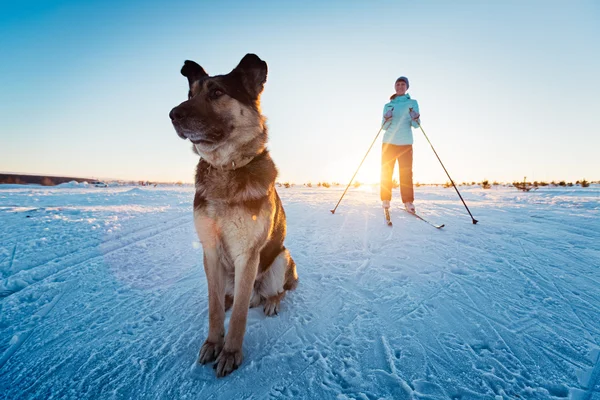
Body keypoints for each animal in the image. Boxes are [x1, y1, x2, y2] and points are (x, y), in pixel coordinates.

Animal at [168, 54, 298, 378]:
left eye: (217, 93)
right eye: (190, 94)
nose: (173, 114)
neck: (226, 168)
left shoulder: (247, 255)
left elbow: (239, 315)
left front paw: (230, 353)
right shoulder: (211, 251)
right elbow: (214, 308)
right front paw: (213, 343)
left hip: (281, 258)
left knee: (274, 292)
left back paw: (271, 303)